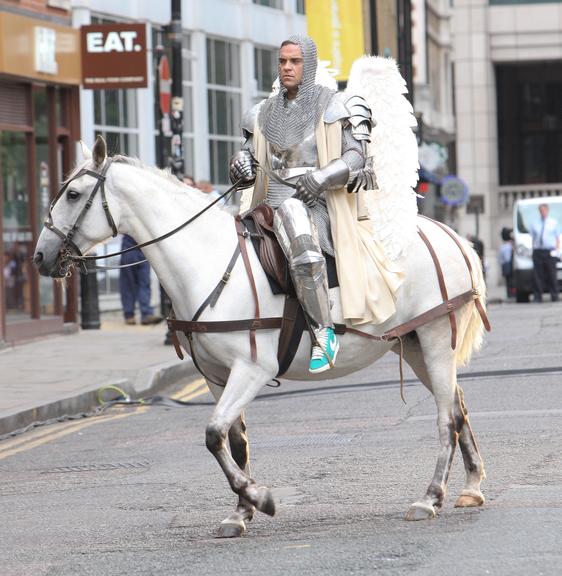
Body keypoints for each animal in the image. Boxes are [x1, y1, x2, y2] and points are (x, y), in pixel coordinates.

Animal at [34, 137, 486, 536]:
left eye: (73, 194)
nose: (41, 257)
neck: (207, 260)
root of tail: (451, 236)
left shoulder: (252, 369)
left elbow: (213, 433)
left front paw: (261, 498)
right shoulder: (217, 376)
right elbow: (232, 440)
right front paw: (240, 513)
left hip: (435, 338)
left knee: (446, 417)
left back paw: (430, 497)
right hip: (414, 344)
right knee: (458, 406)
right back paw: (471, 487)